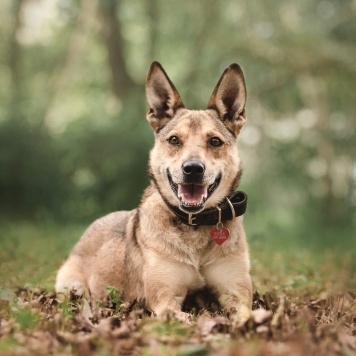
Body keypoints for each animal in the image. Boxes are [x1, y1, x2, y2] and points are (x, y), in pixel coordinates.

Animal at [55, 61, 252, 322]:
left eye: (215, 141)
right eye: (174, 140)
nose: (192, 169)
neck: (195, 224)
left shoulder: (236, 293)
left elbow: (248, 314)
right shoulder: (165, 301)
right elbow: (186, 317)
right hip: (72, 286)